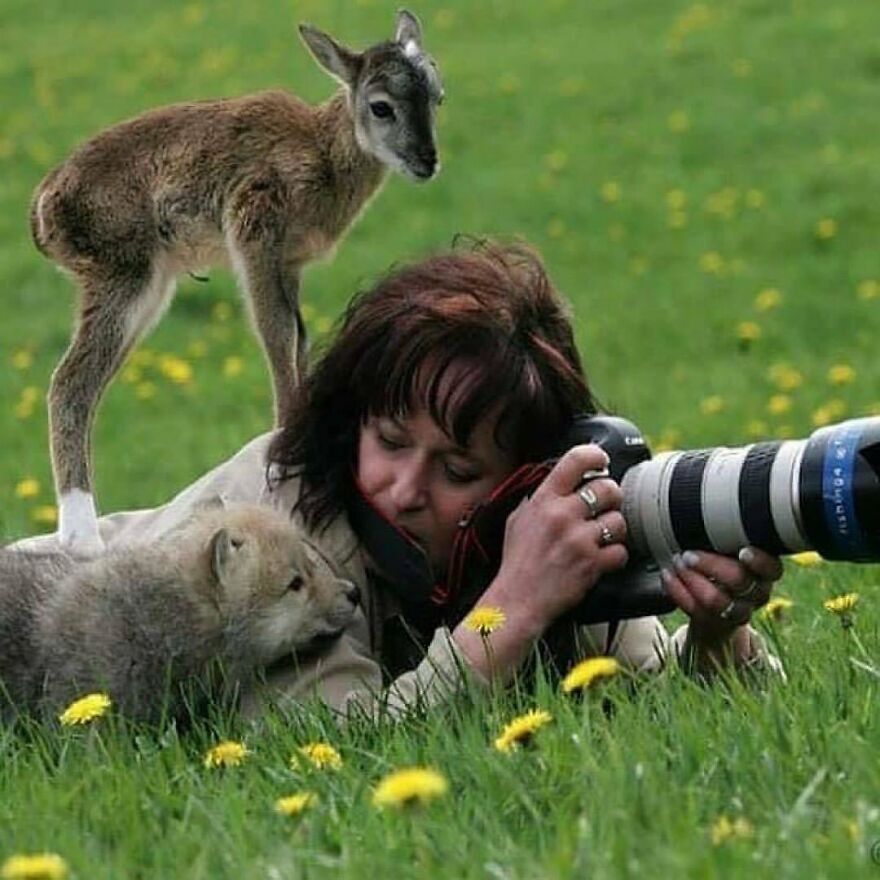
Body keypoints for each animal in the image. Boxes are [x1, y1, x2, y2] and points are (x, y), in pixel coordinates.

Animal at [28, 9, 444, 557]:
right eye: (381, 106)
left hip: (147, 290)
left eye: (437, 95)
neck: (321, 152)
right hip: (123, 275)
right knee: (70, 383)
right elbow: (276, 334)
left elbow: (298, 338)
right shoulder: (255, 232)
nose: (426, 161)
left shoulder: (291, 264)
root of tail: (44, 208)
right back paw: (84, 539)